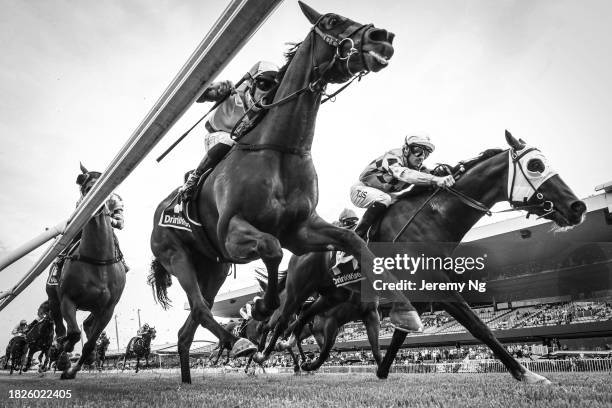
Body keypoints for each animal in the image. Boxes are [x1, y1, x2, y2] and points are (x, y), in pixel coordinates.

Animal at [46, 165, 127, 380]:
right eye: (82, 182)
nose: (93, 193)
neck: (98, 260)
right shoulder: (67, 298)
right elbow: (73, 333)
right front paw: (64, 355)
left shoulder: (107, 309)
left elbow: (90, 344)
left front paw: (74, 368)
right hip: (53, 298)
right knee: (61, 326)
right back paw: (59, 349)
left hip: (95, 307)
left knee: (88, 325)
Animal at [149, 0, 402, 382]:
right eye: (331, 20)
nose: (382, 36)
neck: (281, 149)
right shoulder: (232, 232)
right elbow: (271, 248)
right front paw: (262, 306)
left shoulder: (301, 230)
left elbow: (354, 240)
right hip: (175, 255)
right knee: (201, 308)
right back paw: (240, 342)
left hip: (214, 268)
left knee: (189, 324)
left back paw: (191, 378)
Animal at [276, 132, 584, 384]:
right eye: (535, 165)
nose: (577, 207)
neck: (433, 218)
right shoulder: (437, 287)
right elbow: (479, 326)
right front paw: (526, 373)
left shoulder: (421, 294)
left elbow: (399, 335)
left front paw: (382, 371)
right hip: (302, 288)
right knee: (285, 318)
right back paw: (280, 348)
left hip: (334, 295)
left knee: (304, 317)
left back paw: (297, 352)